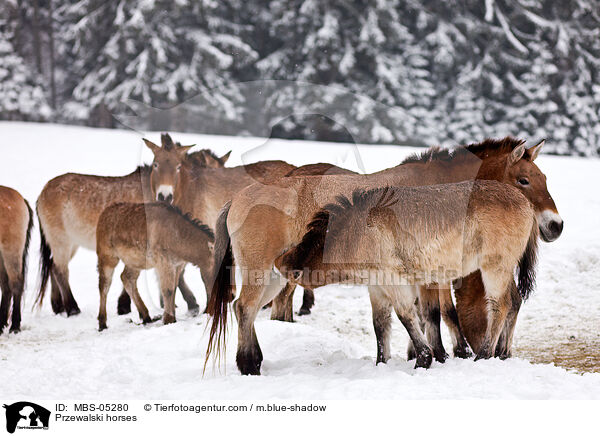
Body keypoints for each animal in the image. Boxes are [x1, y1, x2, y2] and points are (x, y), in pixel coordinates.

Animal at [35, 133, 229, 316]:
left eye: (178, 166)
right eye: (156, 165)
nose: (165, 196)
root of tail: (43, 191)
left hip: (71, 243)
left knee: (53, 267)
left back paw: (58, 306)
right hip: (61, 240)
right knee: (61, 271)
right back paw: (72, 308)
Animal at [96, 202, 213, 330]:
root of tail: (103, 214)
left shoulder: (177, 265)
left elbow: (174, 289)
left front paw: (171, 317)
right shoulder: (163, 262)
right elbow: (168, 290)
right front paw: (168, 320)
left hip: (134, 261)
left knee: (126, 278)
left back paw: (146, 316)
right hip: (107, 254)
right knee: (104, 284)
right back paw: (102, 323)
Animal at [274, 182, 540, 370]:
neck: (357, 231)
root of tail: (526, 202)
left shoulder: (395, 282)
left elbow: (407, 317)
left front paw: (424, 359)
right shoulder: (376, 287)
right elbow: (381, 325)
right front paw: (382, 363)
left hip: (494, 269)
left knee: (500, 306)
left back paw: (484, 355)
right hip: (504, 270)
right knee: (514, 302)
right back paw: (502, 353)